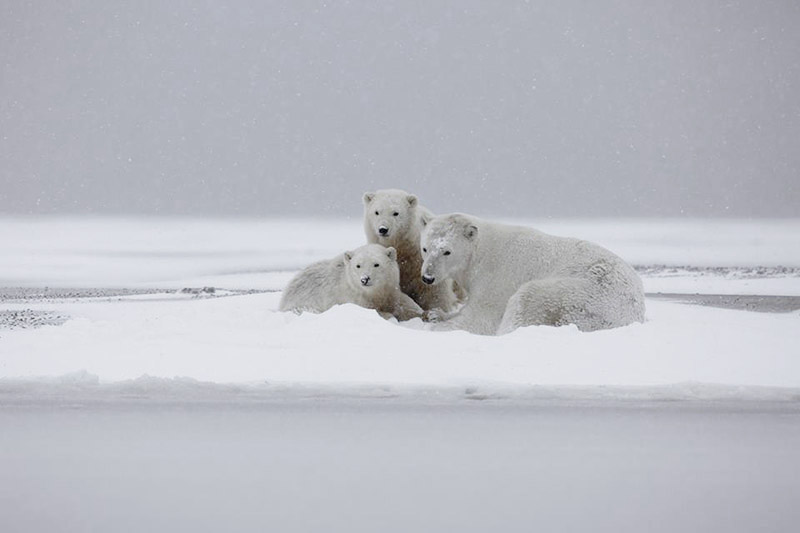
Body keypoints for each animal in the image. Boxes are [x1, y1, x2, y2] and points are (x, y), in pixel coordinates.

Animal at [279, 243, 424, 322]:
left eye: (376, 264)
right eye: (358, 265)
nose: (365, 279)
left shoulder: (390, 291)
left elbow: (405, 304)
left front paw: (419, 313)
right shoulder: (353, 298)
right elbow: (373, 311)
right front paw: (389, 315)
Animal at [419, 213, 646, 335]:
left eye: (447, 251)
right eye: (424, 248)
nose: (427, 277)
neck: (480, 252)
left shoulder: (496, 279)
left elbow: (480, 317)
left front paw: (439, 326)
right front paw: (436, 314)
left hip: (584, 297)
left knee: (526, 300)